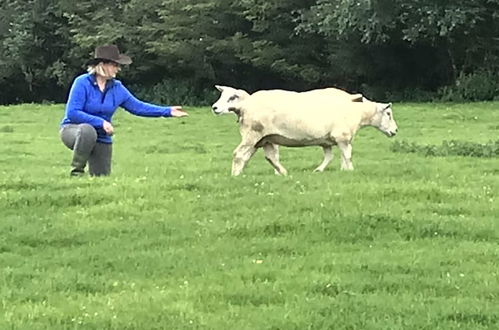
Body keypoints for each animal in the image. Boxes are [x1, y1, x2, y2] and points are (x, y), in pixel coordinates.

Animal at [211, 86, 398, 177]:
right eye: (388, 113)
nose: (395, 130)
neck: (357, 112)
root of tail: (245, 106)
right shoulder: (343, 137)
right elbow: (347, 155)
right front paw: (350, 171)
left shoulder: (329, 140)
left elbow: (331, 156)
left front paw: (326, 170)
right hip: (252, 134)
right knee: (239, 154)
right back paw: (235, 176)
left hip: (264, 138)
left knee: (265, 157)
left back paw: (280, 173)